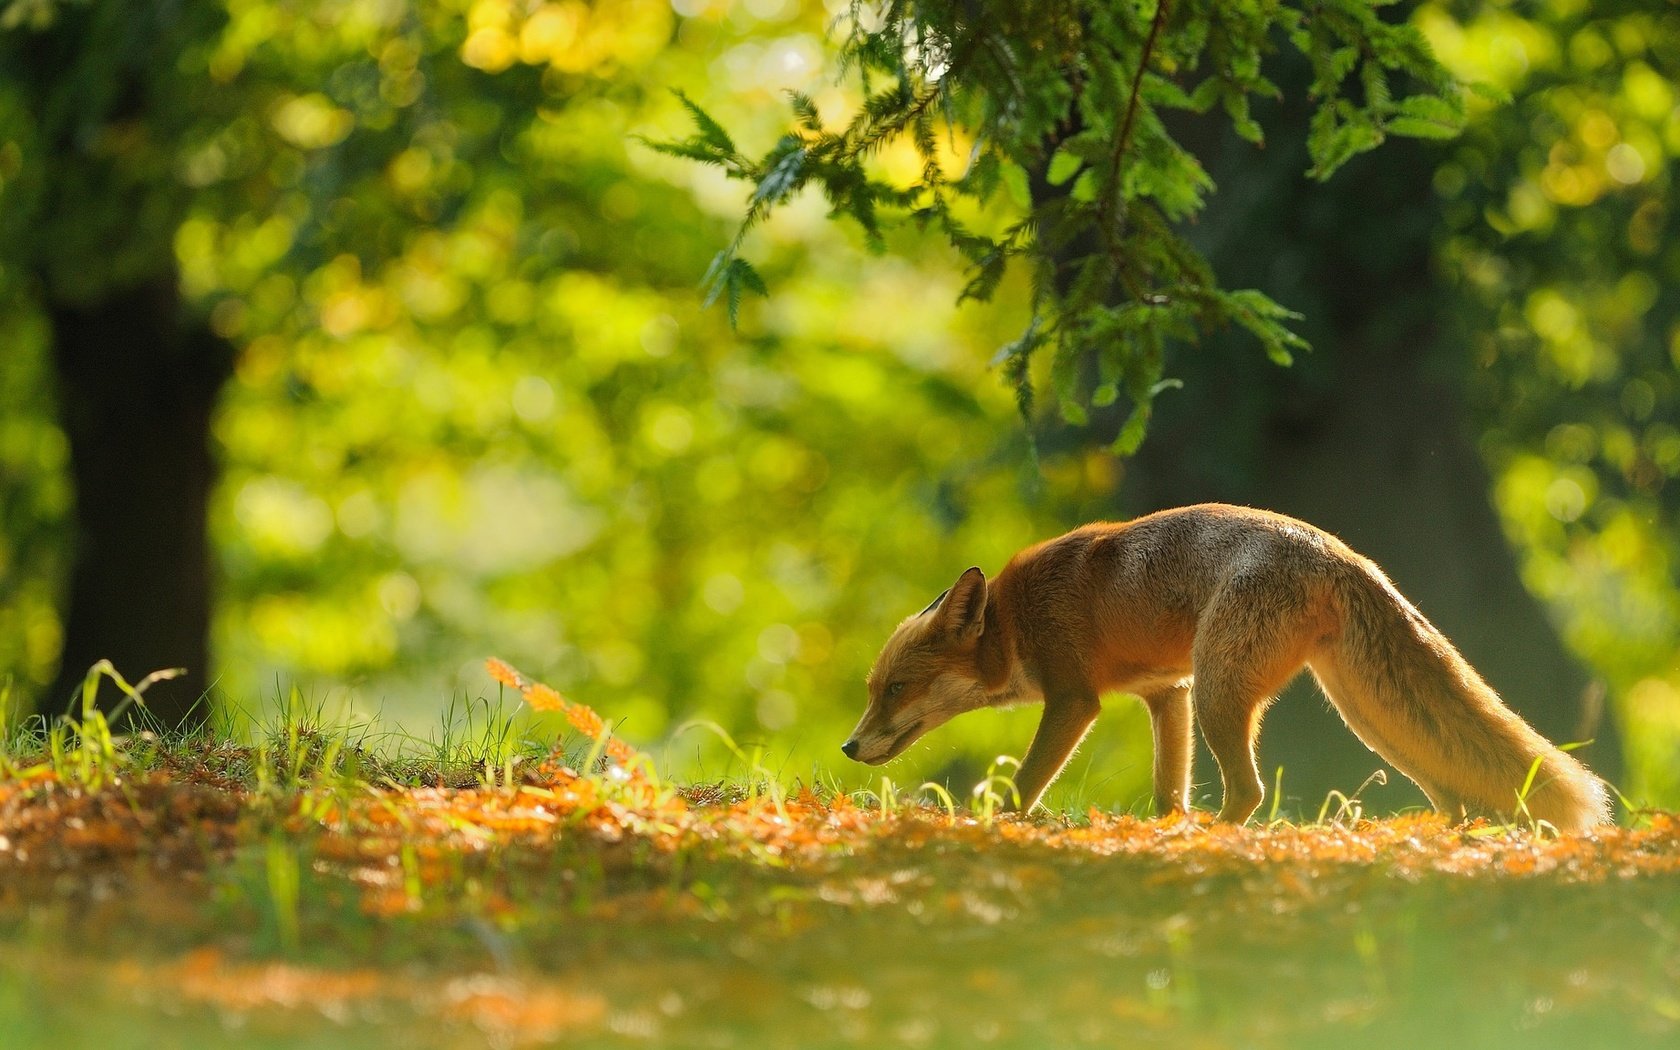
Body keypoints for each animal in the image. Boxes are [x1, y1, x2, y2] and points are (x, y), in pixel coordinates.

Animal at [846, 503, 1606, 829]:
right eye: (874, 689)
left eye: (899, 688)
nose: (850, 747)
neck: (1014, 620)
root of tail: (1339, 551)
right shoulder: (1166, 694)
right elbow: (1167, 789)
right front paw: (1160, 833)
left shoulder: (1075, 700)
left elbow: (1024, 785)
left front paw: (996, 827)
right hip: (1357, 714)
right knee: (1451, 788)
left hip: (1226, 693)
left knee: (1250, 791)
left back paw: (1220, 837)